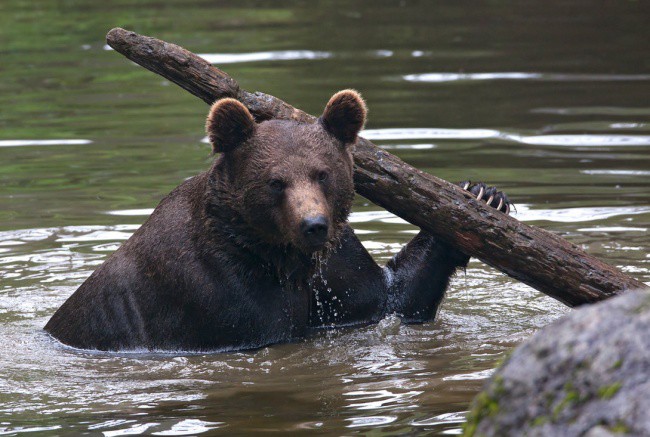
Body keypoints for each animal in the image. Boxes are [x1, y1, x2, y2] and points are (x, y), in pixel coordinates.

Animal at [46, 89, 512, 350]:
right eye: (275, 182)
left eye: (322, 173)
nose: (313, 225)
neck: (278, 257)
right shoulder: (214, 291)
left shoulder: (335, 270)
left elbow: (392, 296)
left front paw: (483, 194)